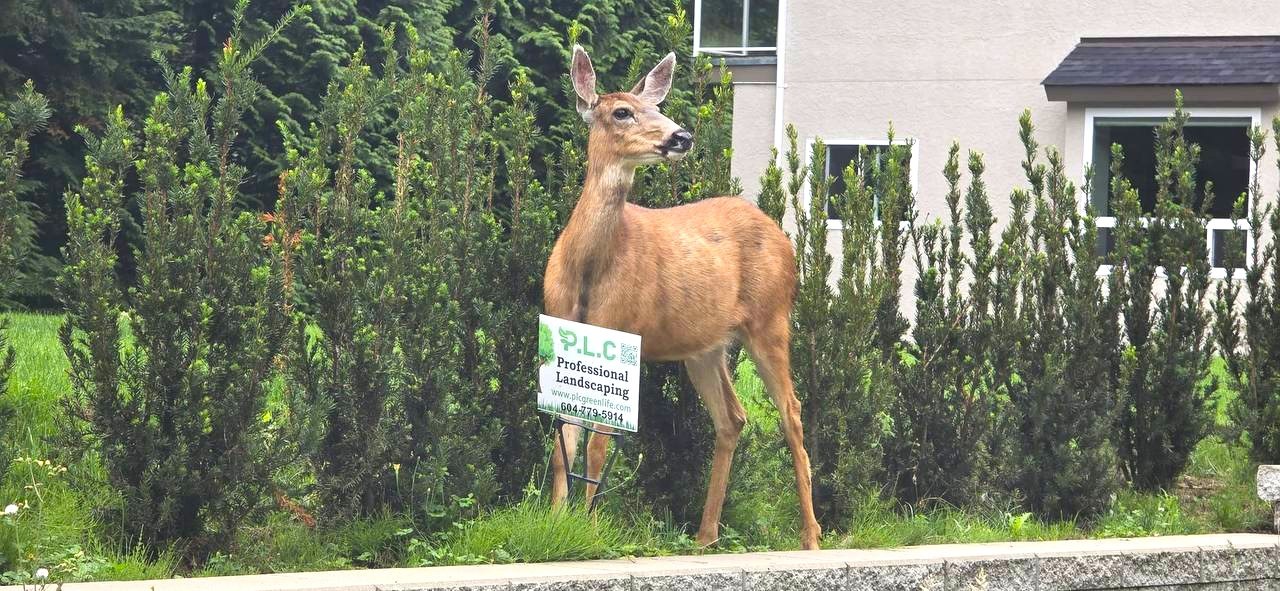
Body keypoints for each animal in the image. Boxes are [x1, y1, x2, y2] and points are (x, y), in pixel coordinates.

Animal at [543, 45, 821, 551]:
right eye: (622, 111)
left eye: (657, 107)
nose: (681, 136)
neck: (588, 270)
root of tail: (785, 240)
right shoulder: (562, 327)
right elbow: (564, 440)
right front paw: (555, 521)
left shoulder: (622, 327)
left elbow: (598, 444)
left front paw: (588, 528)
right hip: (705, 347)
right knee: (733, 417)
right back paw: (705, 535)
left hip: (770, 319)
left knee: (791, 412)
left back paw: (811, 536)